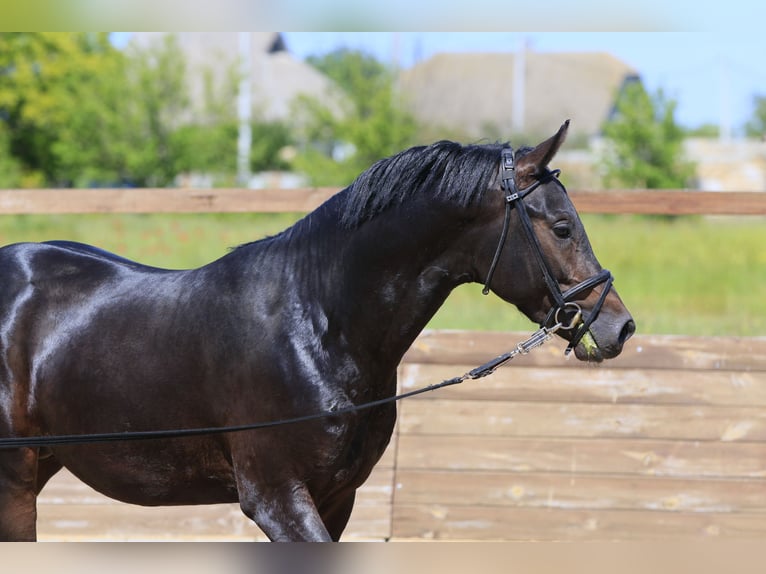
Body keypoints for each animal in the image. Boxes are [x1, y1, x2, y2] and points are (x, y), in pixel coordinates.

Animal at [0, 119, 636, 544]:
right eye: (561, 226)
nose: (619, 325)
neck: (318, 328)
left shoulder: (336, 498)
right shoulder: (277, 498)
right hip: (15, 478)